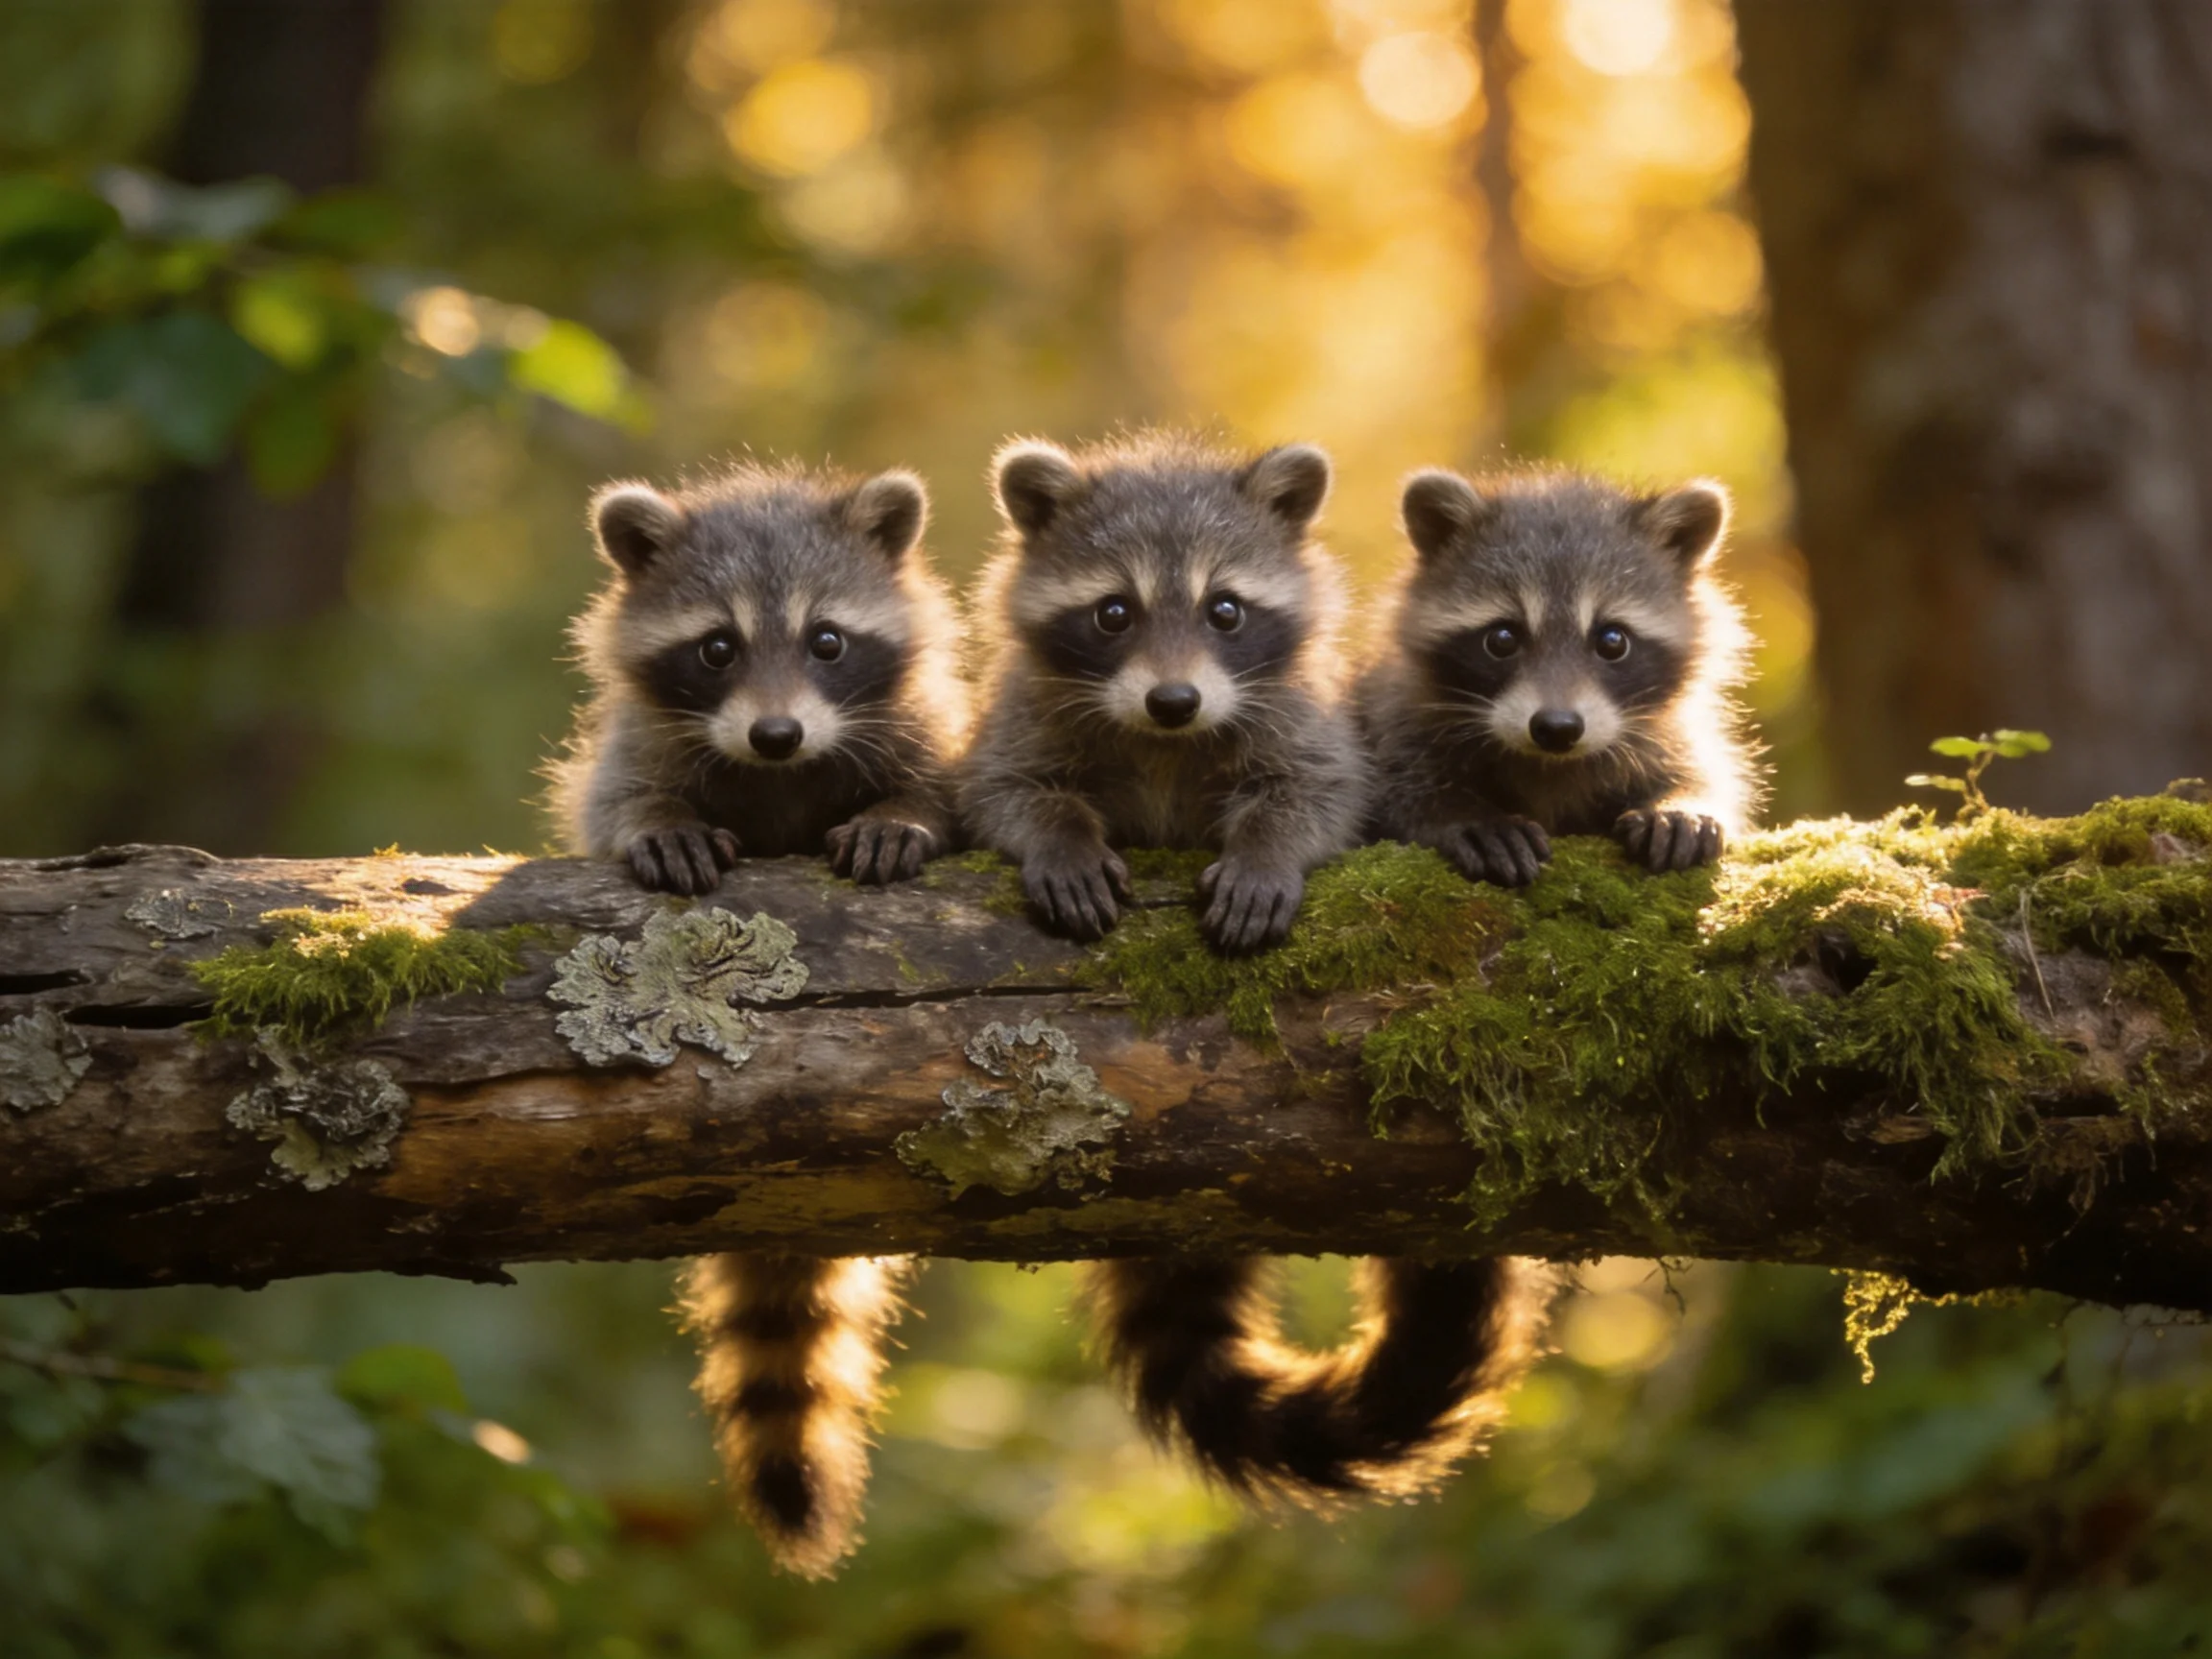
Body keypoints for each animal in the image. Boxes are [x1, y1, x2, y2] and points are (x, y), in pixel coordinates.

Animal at [549, 462, 967, 1579]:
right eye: (717, 647)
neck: (781, 773)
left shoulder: (924, 722)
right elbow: (617, 801)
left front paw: (901, 815)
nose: (775, 734)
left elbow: (942, 794)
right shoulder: (638, 739)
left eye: (827, 640)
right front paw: (658, 825)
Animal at [962, 432, 1542, 1506]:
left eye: (1225, 610)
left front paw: (1268, 854)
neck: (1164, 740)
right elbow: (1004, 788)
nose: (1174, 700)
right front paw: (1058, 838)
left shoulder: (1300, 720)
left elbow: (1320, 791)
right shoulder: (1023, 716)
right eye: (1114, 613)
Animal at [1358, 467, 1762, 883]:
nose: (1557, 728)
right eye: (1502, 639)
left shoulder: (1665, 731)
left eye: (1613, 641)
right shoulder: (1397, 715)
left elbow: (1702, 767)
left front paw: (1683, 801)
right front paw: (1464, 814)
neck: (1549, 764)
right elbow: (1398, 786)